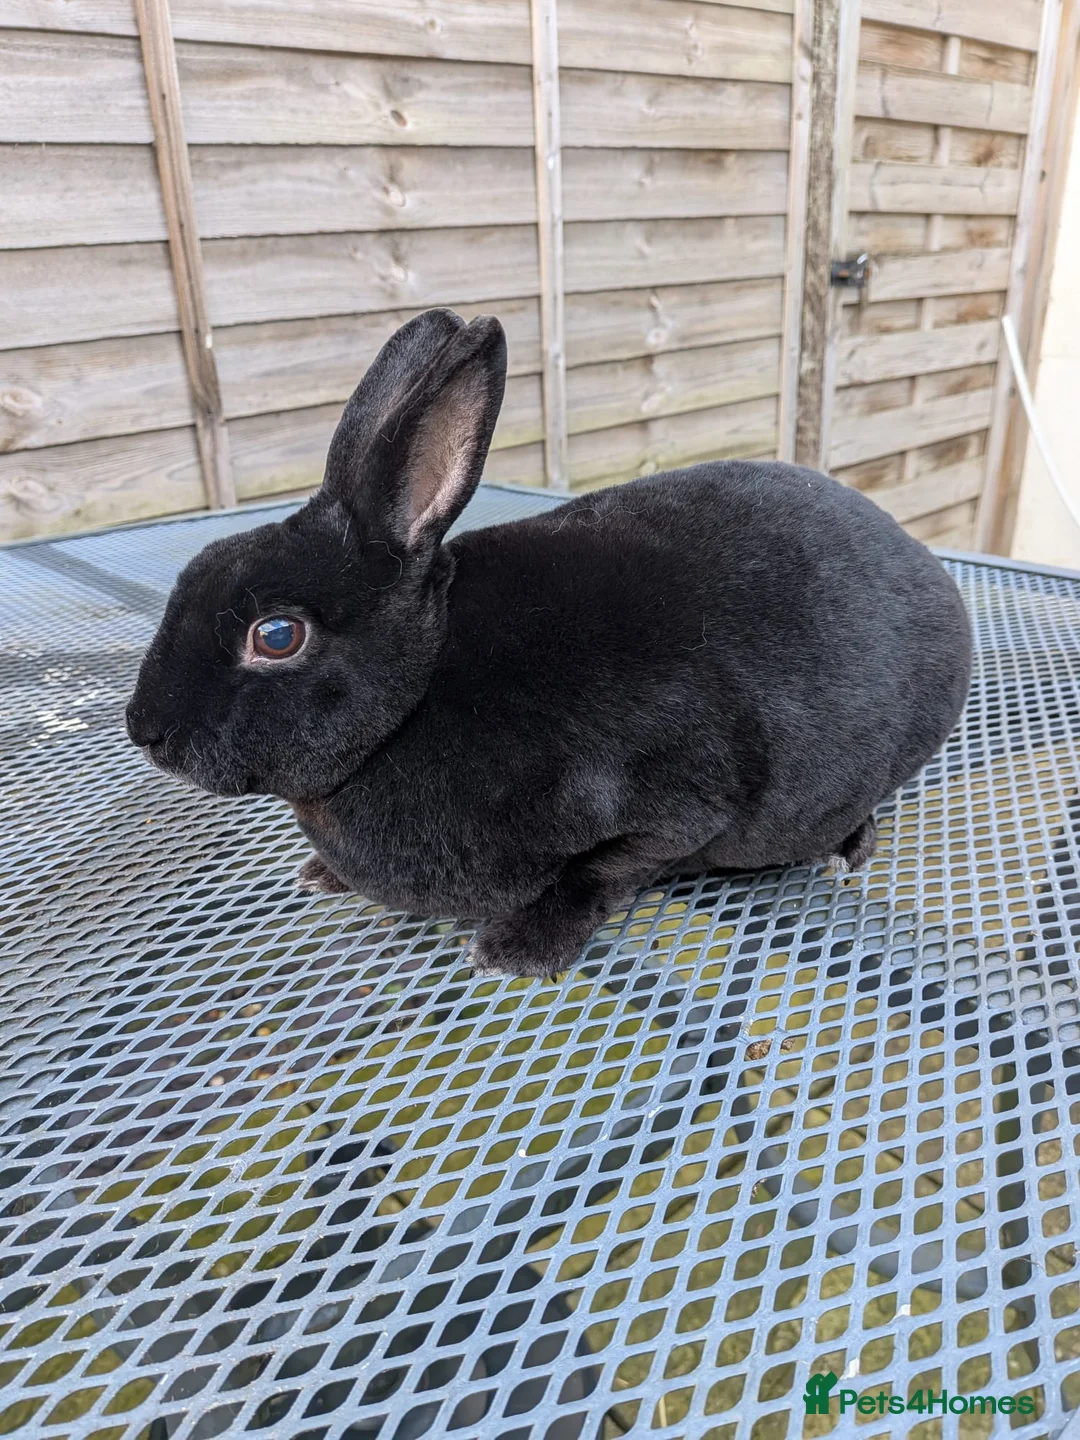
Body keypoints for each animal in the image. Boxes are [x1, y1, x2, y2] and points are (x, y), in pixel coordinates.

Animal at [126, 307, 972, 980]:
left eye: (276, 636)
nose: (145, 730)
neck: (422, 689)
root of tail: (932, 574)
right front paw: (320, 876)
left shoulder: (679, 802)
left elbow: (602, 874)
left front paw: (515, 950)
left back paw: (848, 847)